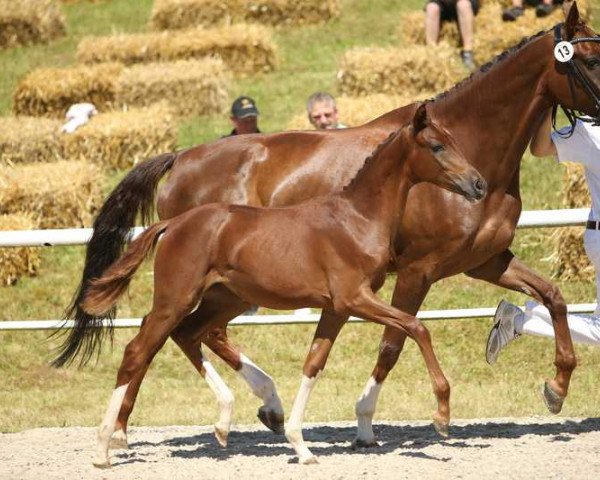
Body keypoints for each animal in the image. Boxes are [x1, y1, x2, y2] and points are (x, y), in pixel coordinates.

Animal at [83, 104, 488, 464]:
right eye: (436, 146)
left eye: (453, 140)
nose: (479, 184)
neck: (357, 218)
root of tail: (173, 223)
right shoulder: (355, 298)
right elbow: (417, 327)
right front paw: (442, 416)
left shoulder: (336, 308)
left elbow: (314, 363)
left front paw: (301, 446)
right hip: (176, 298)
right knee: (138, 351)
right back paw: (104, 448)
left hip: (222, 298)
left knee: (188, 334)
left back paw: (226, 421)